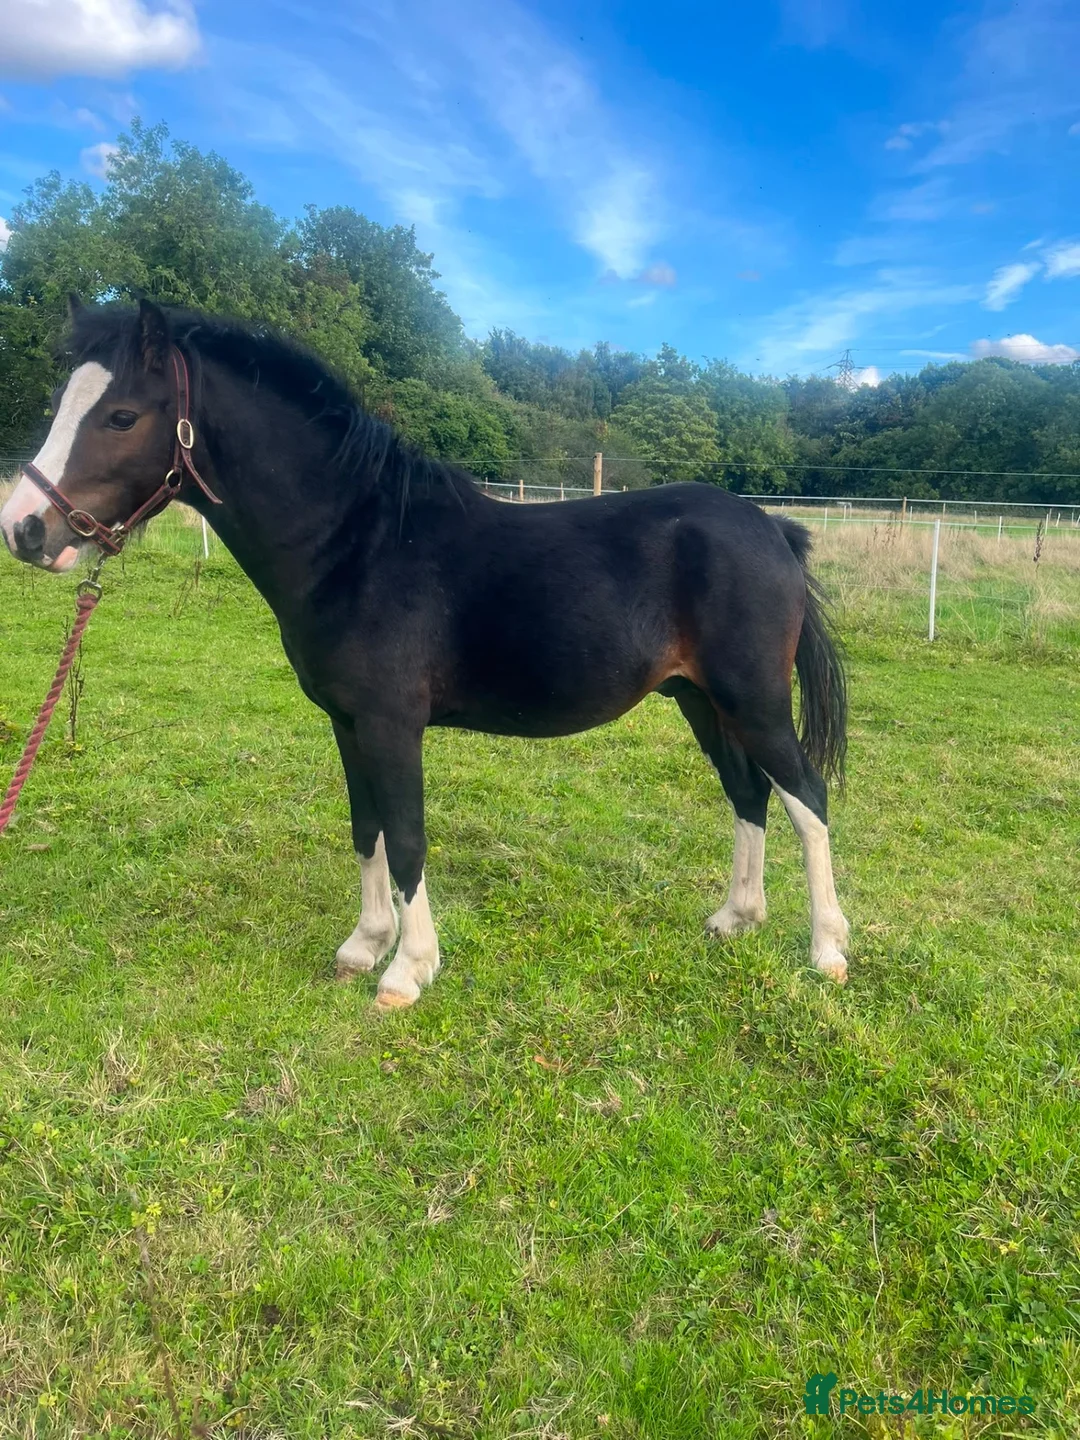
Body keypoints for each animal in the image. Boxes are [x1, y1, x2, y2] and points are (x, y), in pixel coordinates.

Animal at [0, 298, 850, 1008]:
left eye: (120, 415)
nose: (25, 529)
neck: (360, 543)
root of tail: (774, 529)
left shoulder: (390, 724)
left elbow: (407, 838)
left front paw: (408, 971)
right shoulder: (347, 725)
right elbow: (367, 829)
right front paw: (364, 945)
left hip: (753, 700)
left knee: (807, 797)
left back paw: (827, 951)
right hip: (702, 701)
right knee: (749, 794)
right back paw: (736, 918)